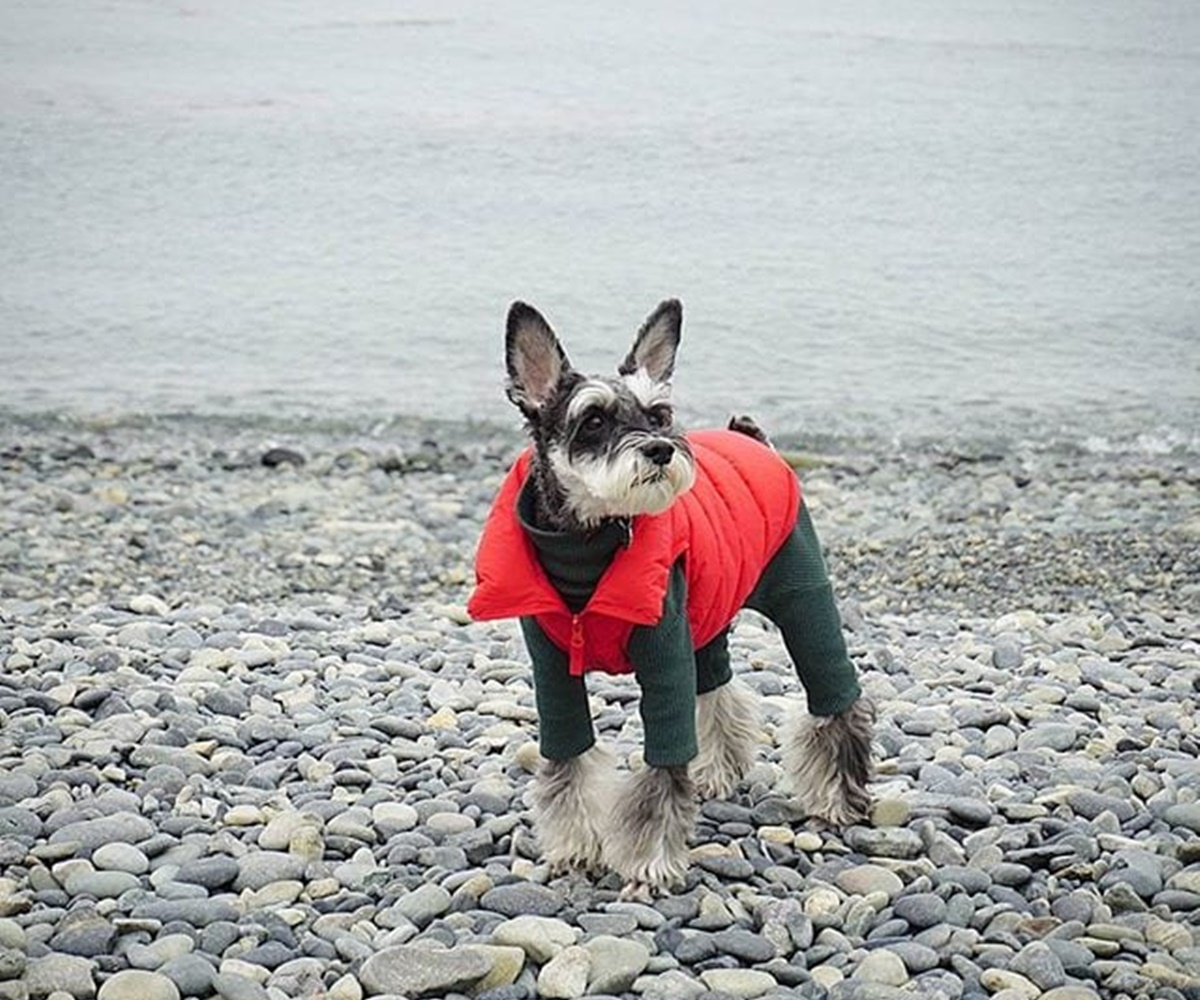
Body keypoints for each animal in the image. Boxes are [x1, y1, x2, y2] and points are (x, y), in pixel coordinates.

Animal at [465, 298, 873, 897]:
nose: (660, 449)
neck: (590, 544)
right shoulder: (554, 671)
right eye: (593, 420)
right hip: (706, 617)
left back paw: (840, 798)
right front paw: (574, 847)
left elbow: (663, 764)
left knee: (836, 697)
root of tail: (753, 440)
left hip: (803, 599)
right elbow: (568, 762)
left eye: (658, 415)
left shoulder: (664, 660)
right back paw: (719, 771)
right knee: (718, 685)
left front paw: (649, 862)